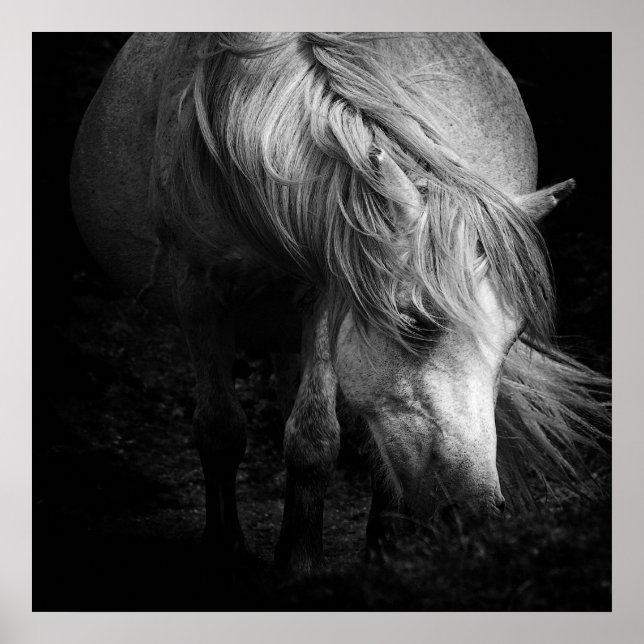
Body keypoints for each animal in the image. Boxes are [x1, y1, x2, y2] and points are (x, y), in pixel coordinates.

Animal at [70, 32, 609, 574]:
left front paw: (300, 561)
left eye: (513, 341)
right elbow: (220, 429)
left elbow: (314, 438)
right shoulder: (198, 289)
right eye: (414, 322)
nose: (475, 511)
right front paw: (227, 550)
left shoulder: (328, 297)